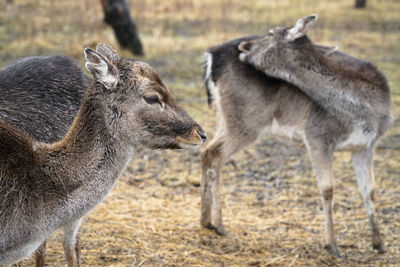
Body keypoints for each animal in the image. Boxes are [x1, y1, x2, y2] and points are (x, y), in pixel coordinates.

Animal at [200, 15, 390, 260]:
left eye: (270, 32)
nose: (243, 47)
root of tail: (211, 56)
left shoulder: (366, 146)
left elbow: (370, 191)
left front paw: (379, 244)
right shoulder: (317, 135)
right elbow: (328, 189)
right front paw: (333, 246)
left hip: (227, 117)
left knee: (209, 152)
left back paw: (207, 222)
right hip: (245, 120)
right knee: (215, 153)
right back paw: (220, 225)